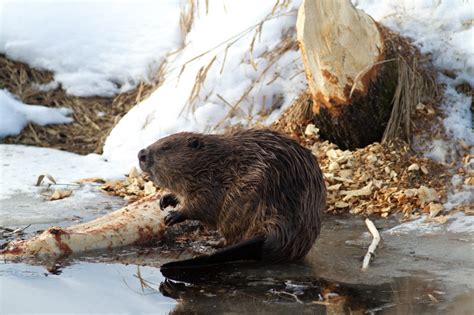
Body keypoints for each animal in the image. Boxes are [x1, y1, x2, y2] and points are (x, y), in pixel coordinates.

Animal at [138, 128, 326, 270]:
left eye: (166, 147)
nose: (141, 153)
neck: (214, 161)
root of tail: (273, 235)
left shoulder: (213, 182)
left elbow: (203, 204)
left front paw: (172, 216)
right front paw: (165, 200)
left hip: (243, 200)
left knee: (232, 236)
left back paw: (213, 243)